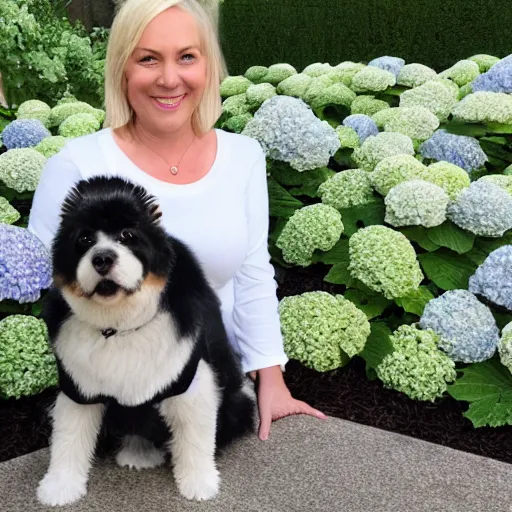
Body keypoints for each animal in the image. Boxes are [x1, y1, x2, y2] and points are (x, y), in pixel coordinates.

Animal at [37, 178, 256, 506]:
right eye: (84, 238)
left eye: (128, 235)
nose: (103, 258)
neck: (118, 327)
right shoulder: (79, 388)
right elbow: (69, 437)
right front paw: (59, 487)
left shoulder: (190, 381)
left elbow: (195, 436)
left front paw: (199, 483)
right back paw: (137, 453)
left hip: (236, 403)